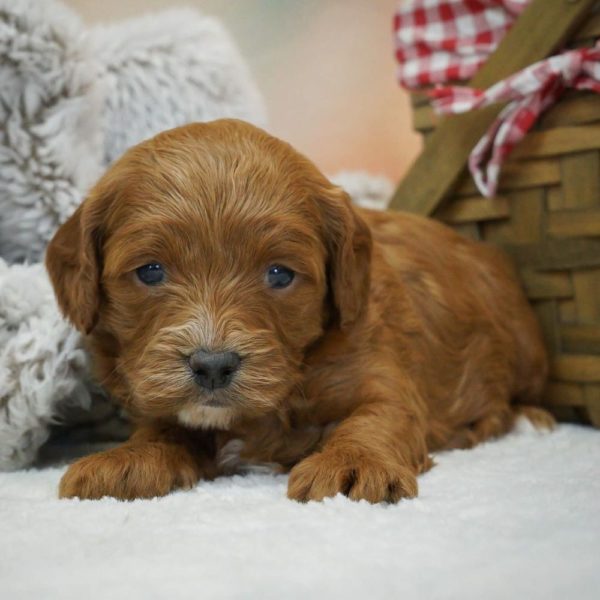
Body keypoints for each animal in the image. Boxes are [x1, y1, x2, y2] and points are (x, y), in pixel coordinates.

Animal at [45, 118, 552, 502]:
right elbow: (163, 429)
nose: (212, 365)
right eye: (150, 271)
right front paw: (126, 459)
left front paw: (351, 463)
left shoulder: (382, 377)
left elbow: (375, 419)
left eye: (279, 275)